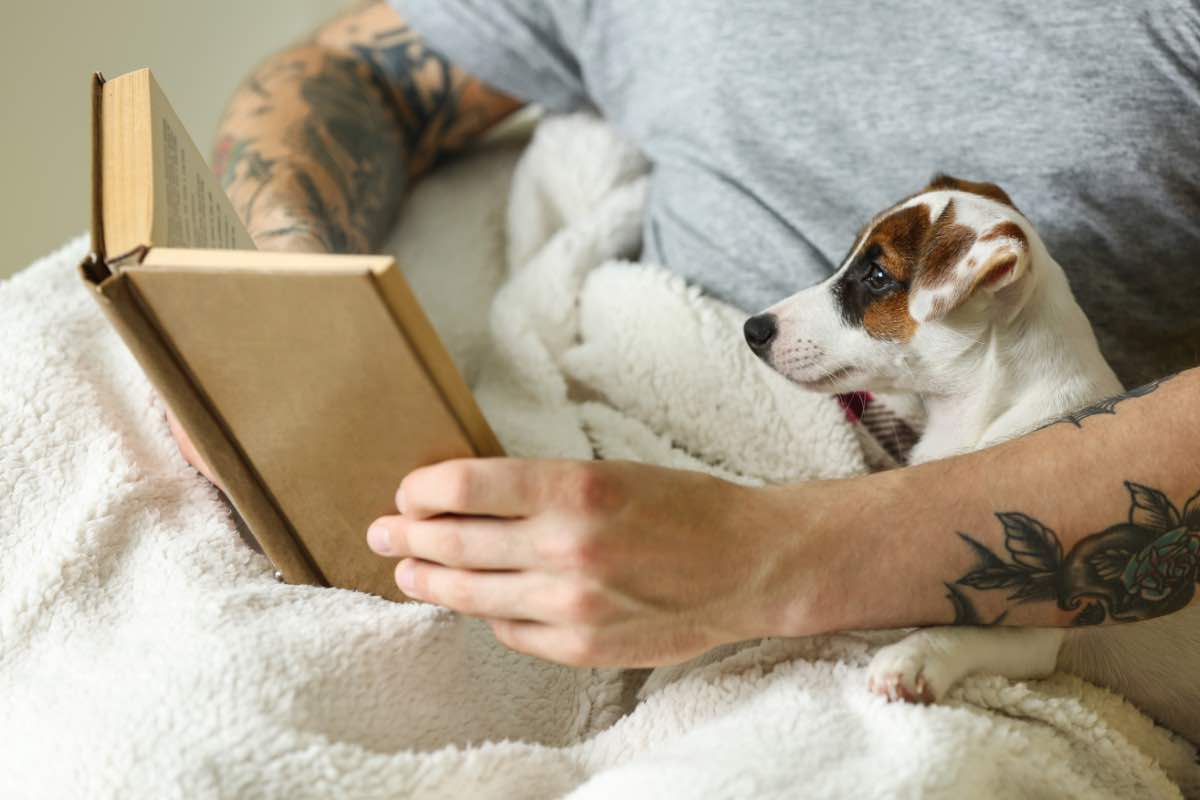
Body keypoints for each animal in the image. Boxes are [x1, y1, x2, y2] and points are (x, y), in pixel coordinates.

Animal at [744, 175, 1200, 743]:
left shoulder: (1039, 627)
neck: (980, 410)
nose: (753, 329)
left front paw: (912, 658)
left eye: (877, 276)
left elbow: (960, 632)